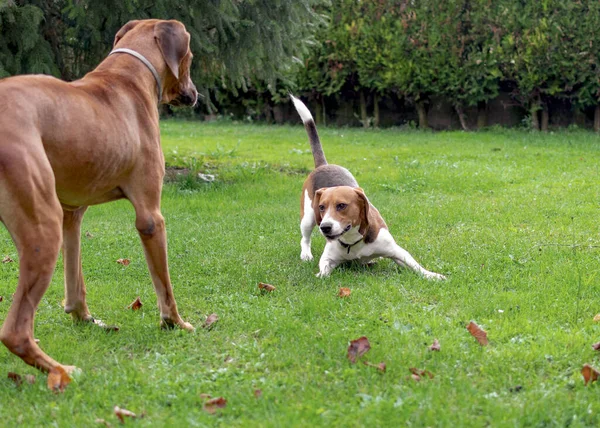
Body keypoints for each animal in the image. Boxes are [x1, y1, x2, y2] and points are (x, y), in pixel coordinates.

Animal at [0, 20, 198, 374]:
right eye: (192, 55)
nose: (195, 94)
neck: (128, 75)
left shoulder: (72, 213)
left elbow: (75, 275)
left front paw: (83, 317)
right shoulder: (150, 216)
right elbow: (164, 284)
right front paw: (174, 322)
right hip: (42, 230)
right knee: (15, 332)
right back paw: (62, 372)